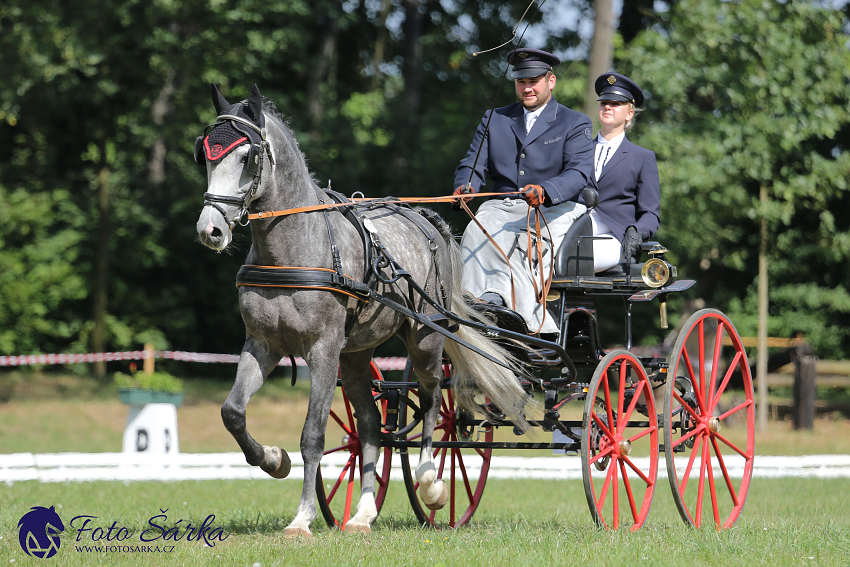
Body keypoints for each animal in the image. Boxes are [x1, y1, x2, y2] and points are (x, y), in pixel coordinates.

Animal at [195, 84, 528, 536]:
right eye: (205, 154)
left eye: (247, 157)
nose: (210, 230)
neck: (294, 247)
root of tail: (428, 222)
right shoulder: (263, 345)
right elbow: (233, 413)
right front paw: (273, 460)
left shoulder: (322, 350)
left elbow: (313, 436)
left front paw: (302, 518)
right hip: (355, 356)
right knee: (371, 425)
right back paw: (364, 513)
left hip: (425, 339)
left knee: (433, 403)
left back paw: (430, 482)